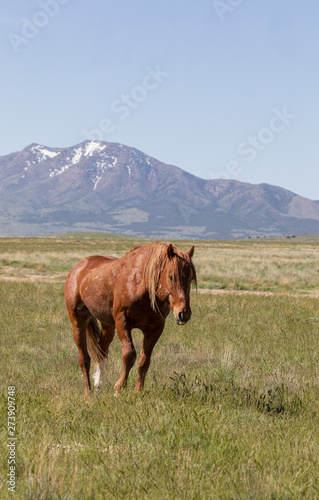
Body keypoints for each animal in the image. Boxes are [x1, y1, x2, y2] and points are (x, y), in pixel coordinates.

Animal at [63, 240, 196, 396]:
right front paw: (119, 388)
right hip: (77, 321)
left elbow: (144, 360)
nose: (184, 314)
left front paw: (138, 391)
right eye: (171, 277)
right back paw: (88, 392)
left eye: (191, 279)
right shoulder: (122, 322)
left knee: (101, 350)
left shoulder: (155, 328)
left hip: (107, 325)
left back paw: (98, 384)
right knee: (84, 357)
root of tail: (78, 268)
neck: (141, 283)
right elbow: (129, 355)